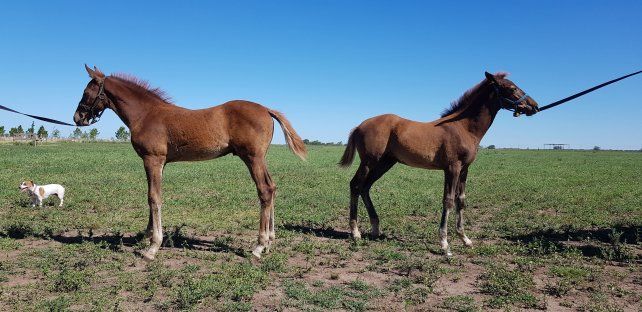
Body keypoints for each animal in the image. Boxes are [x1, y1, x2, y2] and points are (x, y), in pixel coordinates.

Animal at [74, 64, 306, 260]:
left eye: (86, 92)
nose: (78, 118)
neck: (146, 114)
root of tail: (266, 109)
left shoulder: (152, 159)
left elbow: (154, 198)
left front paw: (153, 247)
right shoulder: (160, 164)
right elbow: (153, 196)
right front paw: (147, 235)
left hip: (253, 158)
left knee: (265, 190)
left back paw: (259, 246)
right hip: (259, 159)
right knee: (272, 187)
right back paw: (270, 241)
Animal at [338, 72, 536, 256]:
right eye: (511, 88)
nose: (534, 105)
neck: (463, 127)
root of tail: (359, 126)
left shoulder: (464, 169)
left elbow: (461, 200)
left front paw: (465, 239)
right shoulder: (452, 168)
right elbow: (448, 200)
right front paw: (445, 244)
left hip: (385, 163)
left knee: (365, 187)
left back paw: (375, 228)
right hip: (369, 162)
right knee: (355, 185)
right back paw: (355, 232)